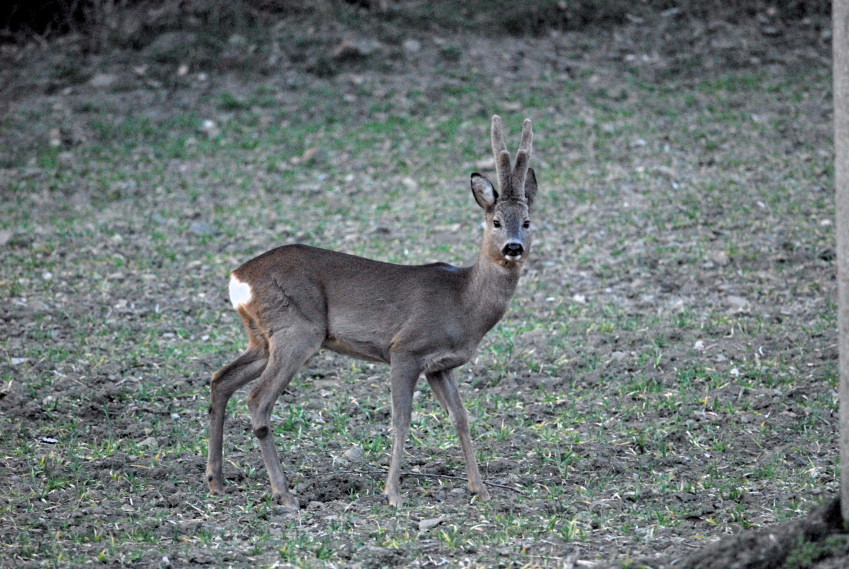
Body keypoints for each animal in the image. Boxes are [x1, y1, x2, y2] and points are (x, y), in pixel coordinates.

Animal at [206, 114, 536, 506]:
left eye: (528, 222)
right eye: (496, 222)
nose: (513, 247)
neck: (463, 301)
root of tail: (238, 277)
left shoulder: (439, 366)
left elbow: (460, 417)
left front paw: (479, 488)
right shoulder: (406, 349)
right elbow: (401, 419)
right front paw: (393, 493)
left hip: (262, 337)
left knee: (221, 379)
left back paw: (217, 480)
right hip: (297, 330)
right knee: (257, 399)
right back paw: (283, 493)